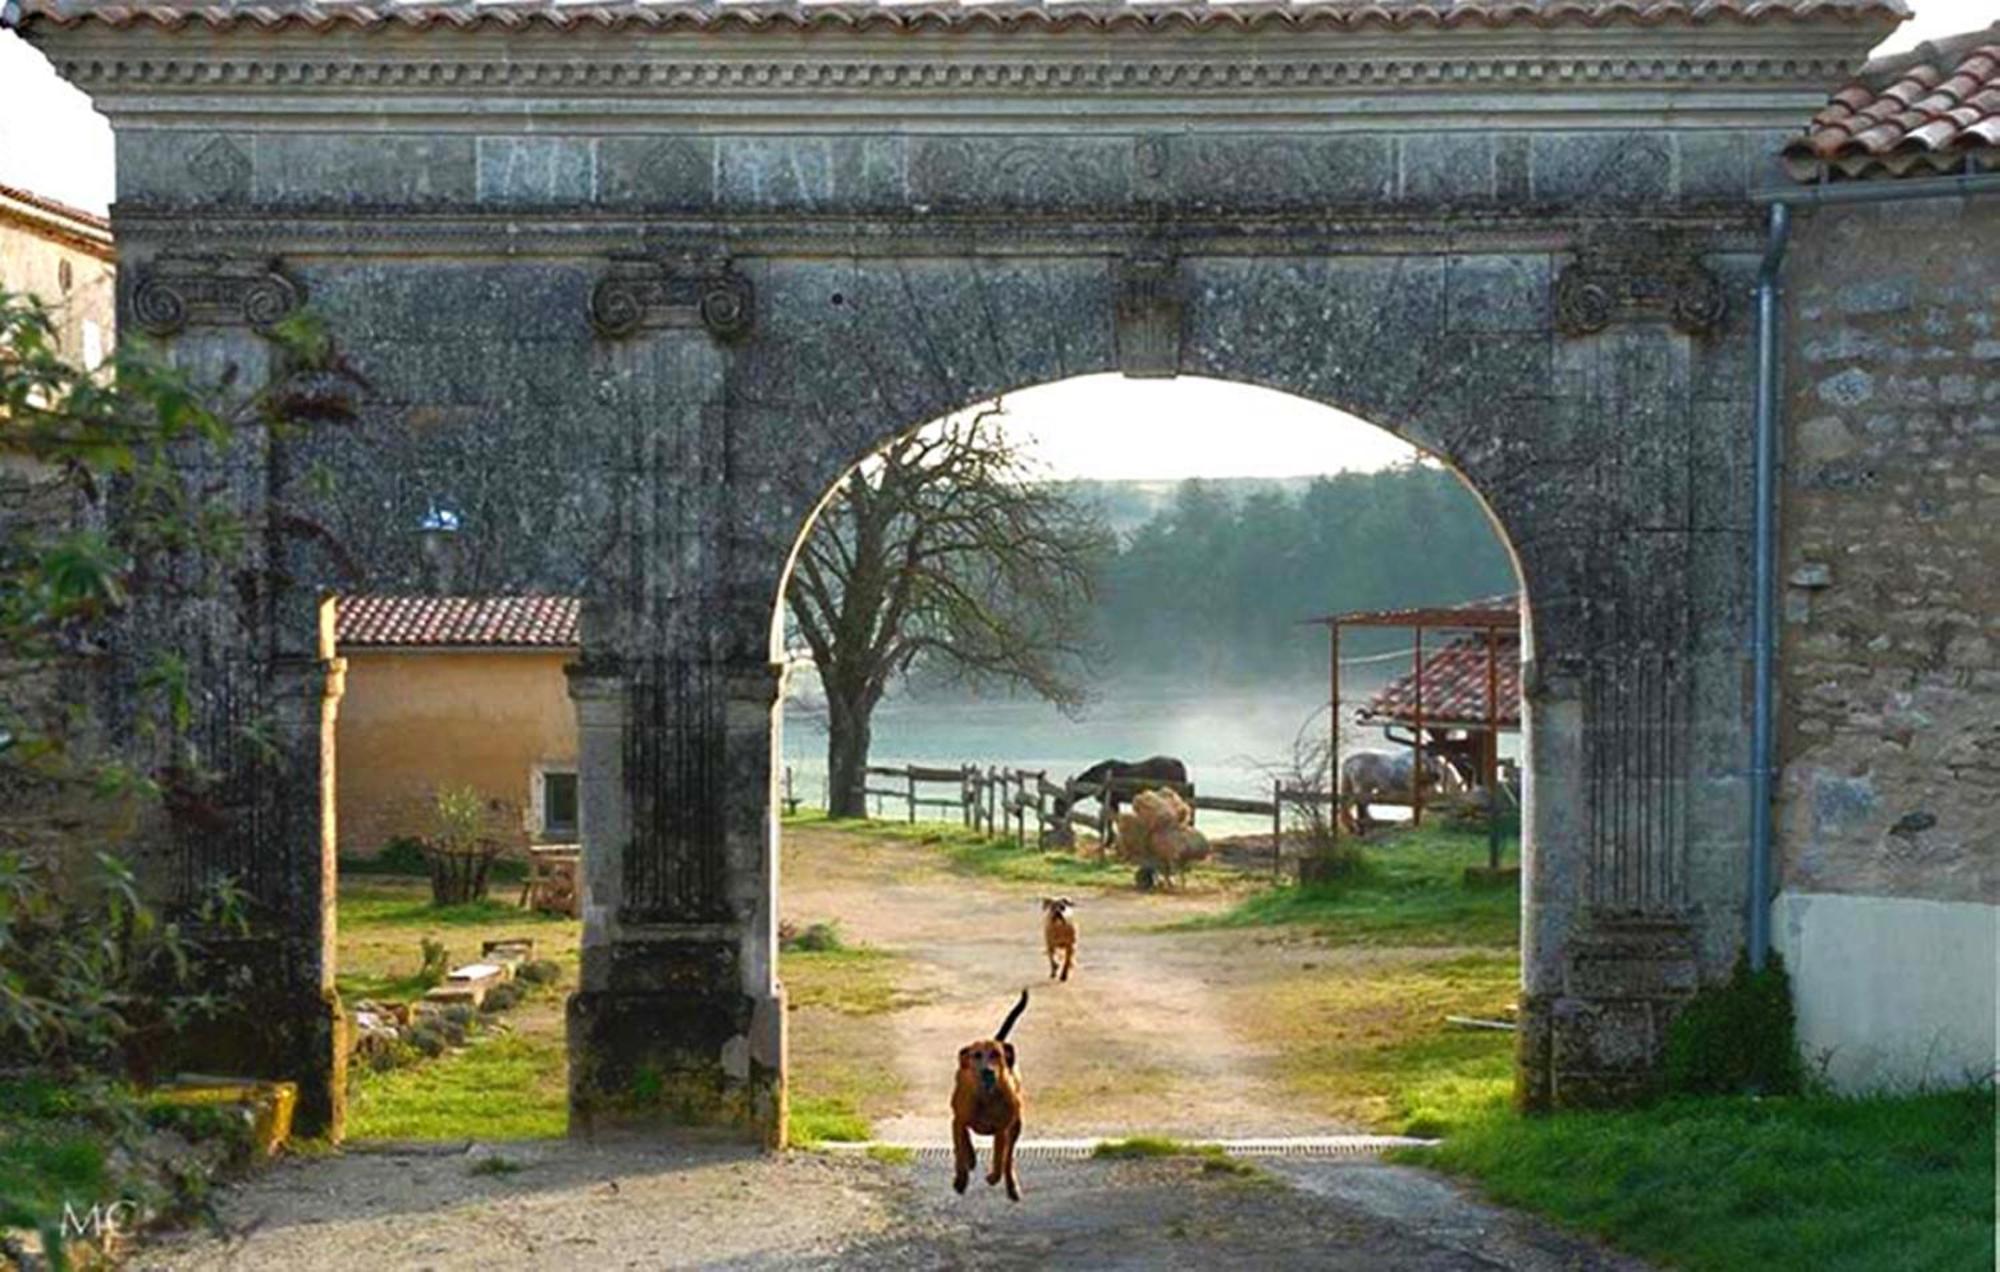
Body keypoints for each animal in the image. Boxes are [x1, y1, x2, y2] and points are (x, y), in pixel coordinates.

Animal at [952, 992, 1032, 1200]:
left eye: (997, 1054)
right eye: (976, 1055)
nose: (987, 1072)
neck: (986, 1098)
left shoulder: (1002, 1128)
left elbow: (999, 1157)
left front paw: (994, 1176)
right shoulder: (958, 1119)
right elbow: (960, 1146)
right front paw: (961, 1178)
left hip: (1016, 1123)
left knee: (1008, 1157)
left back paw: (1011, 1185)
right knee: (963, 1138)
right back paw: (970, 1158)